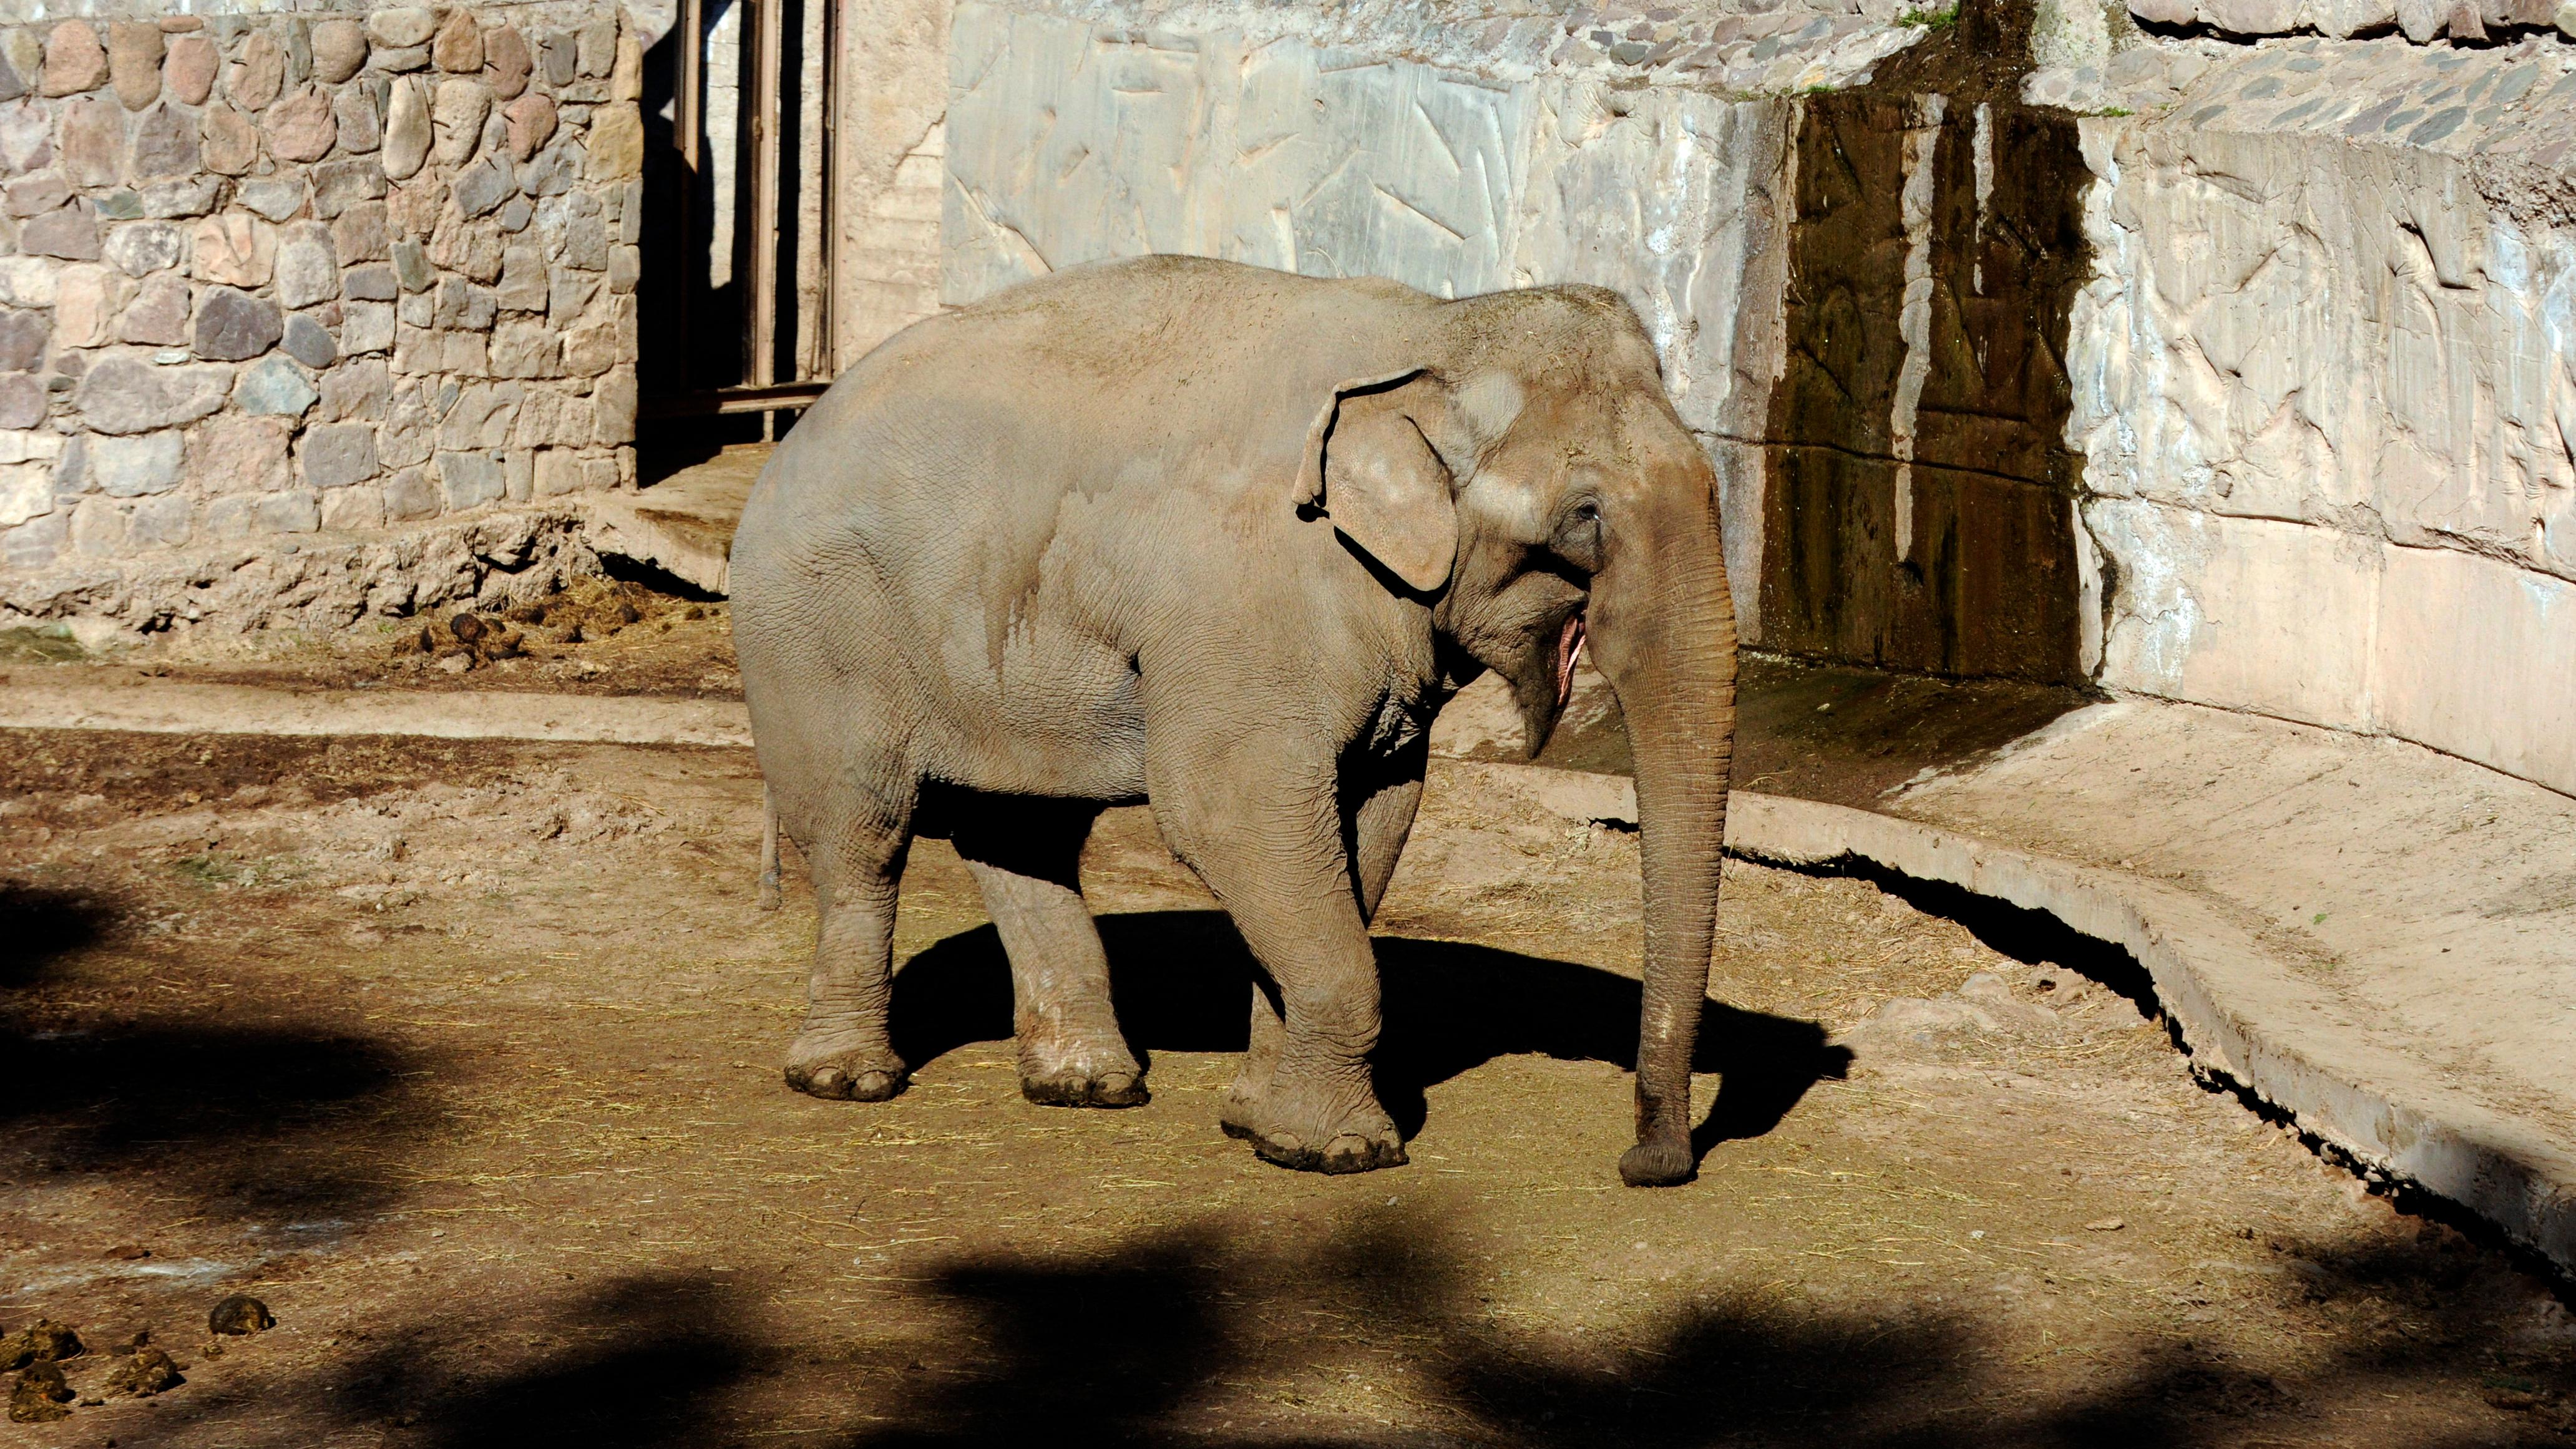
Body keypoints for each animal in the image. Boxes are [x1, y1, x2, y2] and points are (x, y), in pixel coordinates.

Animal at [726, 256, 1741, 1186]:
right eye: (1585, 518)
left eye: (1715, 488)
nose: (1645, 1164)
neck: (1433, 329)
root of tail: (794, 428)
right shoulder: (1247, 606)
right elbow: (1229, 812)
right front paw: (1343, 1151)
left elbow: (1370, 816)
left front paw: (1260, 1123)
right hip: (817, 632)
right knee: (864, 830)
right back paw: (848, 1079)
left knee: (1023, 831)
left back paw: (1088, 1085)